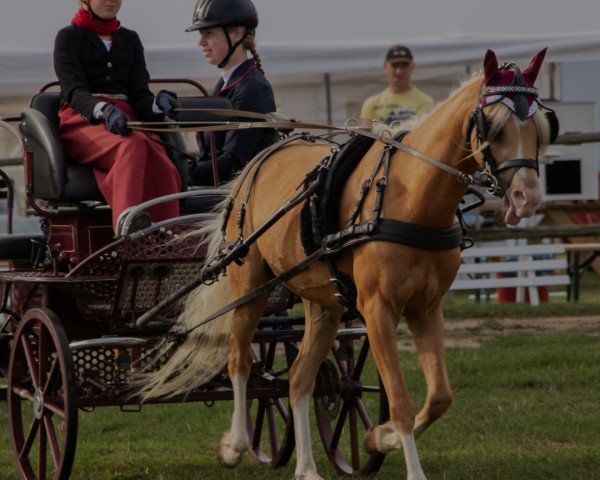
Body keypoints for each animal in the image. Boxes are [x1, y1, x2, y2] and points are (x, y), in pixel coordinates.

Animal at [138, 49, 556, 480]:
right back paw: (235, 445)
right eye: (493, 126)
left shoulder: (426, 308)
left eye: (543, 125)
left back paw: (306, 467)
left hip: (323, 303)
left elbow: (440, 395)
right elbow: (402, 402)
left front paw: (378, 438)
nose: (527, 197)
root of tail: (257, 163)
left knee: (299, 378)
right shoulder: (378, 309)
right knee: (238, 359)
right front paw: (405, 459)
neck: (410, 197)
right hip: (249, 285)